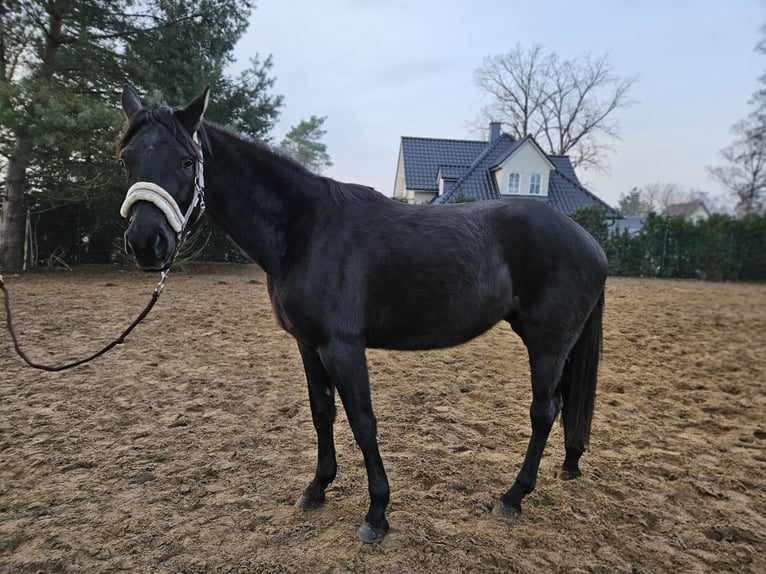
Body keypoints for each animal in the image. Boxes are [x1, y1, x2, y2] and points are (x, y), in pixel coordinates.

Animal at [118, 85, 612, 544]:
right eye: (126, 159)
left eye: (187, 161)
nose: (146, 243)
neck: (304, 230)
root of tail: (591, 243)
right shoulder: (309, 345)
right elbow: (322, 413)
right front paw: (317, 488)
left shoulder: (342, 348)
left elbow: (363, 421)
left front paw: (377, 513)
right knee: (561, 406)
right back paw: (568, 464)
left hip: (547, 344)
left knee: (543, 411)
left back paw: (514, 496)